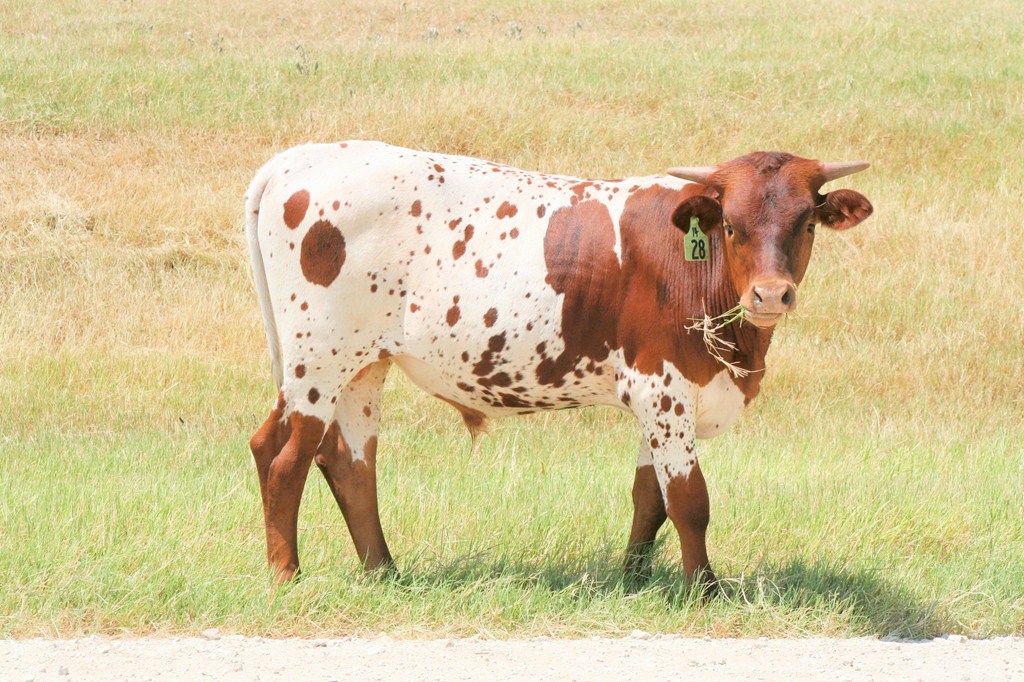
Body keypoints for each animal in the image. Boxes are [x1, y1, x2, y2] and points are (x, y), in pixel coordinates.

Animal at [245, 141, 873, 593]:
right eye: (732, 226)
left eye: (807, 224)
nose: (771, 295)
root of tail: (299, 157)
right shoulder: (662, 387)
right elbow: (689, 500)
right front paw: (705, 591)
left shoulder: (659, 403)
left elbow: (650, 496)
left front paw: (635, 580)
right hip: (317, 359)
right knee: (282, 456)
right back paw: (285, 576)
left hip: (363, 365)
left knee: (350, 464)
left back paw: (383, 571)